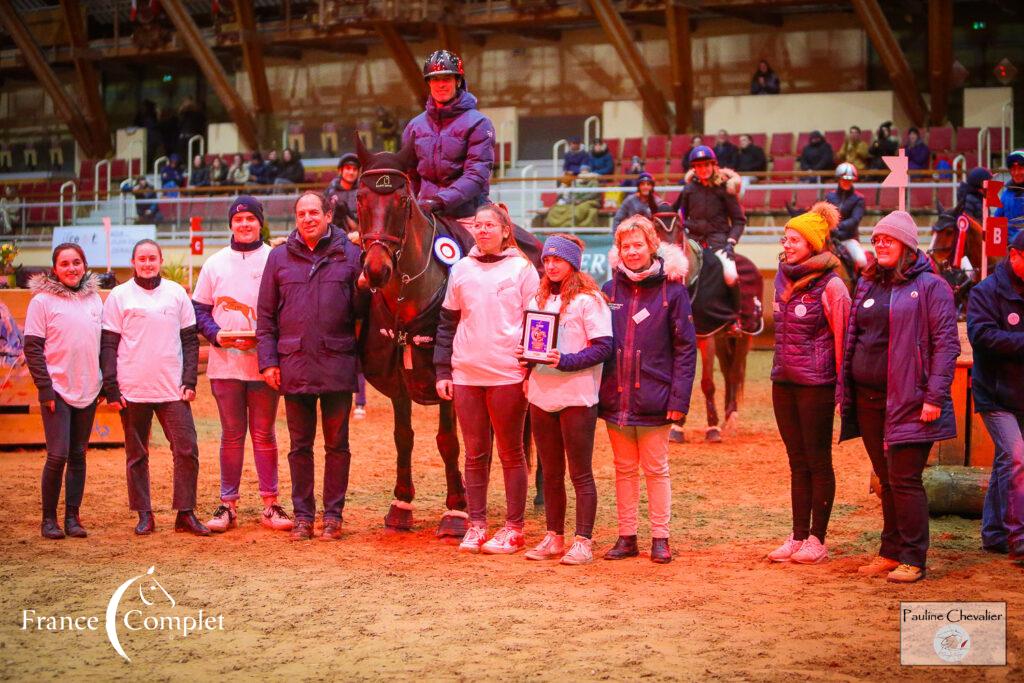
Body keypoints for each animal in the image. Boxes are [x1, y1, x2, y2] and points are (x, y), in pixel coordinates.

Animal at [352, 140, 544, 540]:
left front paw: (456, 510)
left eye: (403, 200)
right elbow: (404, 436)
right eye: (360, 198)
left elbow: (448, 441)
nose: (376, 270)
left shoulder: (452, 387)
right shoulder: (398, 385)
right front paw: (401, 504)